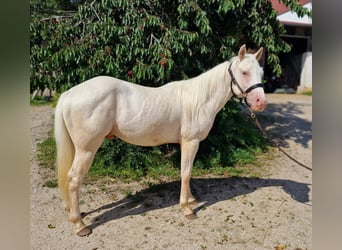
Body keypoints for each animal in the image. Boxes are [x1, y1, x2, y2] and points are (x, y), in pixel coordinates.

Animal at [54, 44, 268, 235]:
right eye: (244, 72)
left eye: (261, 72)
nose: (260, 102)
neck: (199, 99)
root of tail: (69, 94)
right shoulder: (191, 142)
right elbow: (185, 173)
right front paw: (187, 209)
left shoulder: (188, 144)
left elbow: (187, 172)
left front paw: (191, 199)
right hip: (87, 150)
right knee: (74, 179)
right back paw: (80, 225)